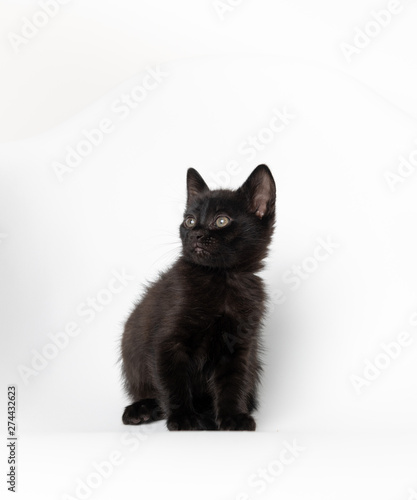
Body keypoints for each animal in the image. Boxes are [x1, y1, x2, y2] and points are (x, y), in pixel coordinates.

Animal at [120, 164, 274, 430]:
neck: (221, 279)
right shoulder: (167, 341)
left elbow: (233, 381)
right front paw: (183, 418)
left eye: (221, 221)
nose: (196, 234)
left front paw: (232, 417)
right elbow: (173, 381)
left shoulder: (239, 344)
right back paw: (142, 409)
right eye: (189, 221)